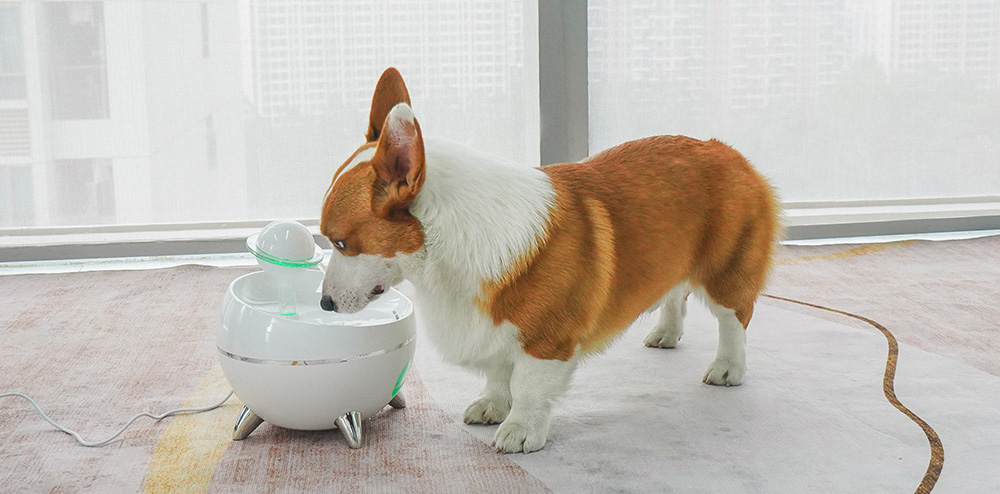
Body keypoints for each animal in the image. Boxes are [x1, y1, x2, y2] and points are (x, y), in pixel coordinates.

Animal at [320, 67, 780, 454]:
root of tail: (725, 150)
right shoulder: (495, 329)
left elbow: (527, 386)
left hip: (727, 272)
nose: (324, 304)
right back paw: (666, 333)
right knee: (674, 292)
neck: (450, 242)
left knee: (733, 319)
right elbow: (498, 373)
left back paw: (727, 367)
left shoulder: (547, 339)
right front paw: (492, 406)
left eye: (341, 242)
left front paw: (520, 430)